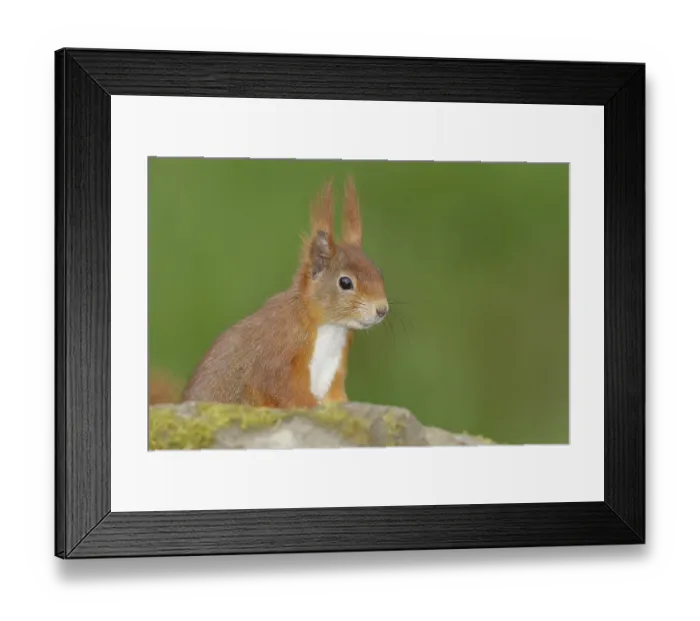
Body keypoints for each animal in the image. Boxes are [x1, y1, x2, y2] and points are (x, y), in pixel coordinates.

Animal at [180, 176, 389, 409]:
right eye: (345, 282)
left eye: (378, 272)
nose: (382, 309)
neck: (330, 328)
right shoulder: (279, 354)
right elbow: (282, 390)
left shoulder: (335, 373)